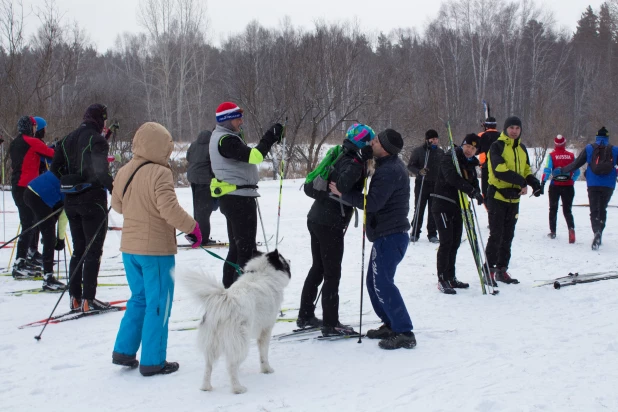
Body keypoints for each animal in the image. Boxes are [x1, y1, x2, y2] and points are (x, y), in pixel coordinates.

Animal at [182, 249, 290, 394]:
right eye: (283, 259)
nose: (290, 260)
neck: (262, 273)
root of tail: (225, 300)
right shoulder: (266, 329)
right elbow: (263, 354)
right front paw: (266, 370)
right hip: (240, 340)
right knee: (231, 365)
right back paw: (237, 388)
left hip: (212, 342)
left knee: (208, 366)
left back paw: (206, 387)